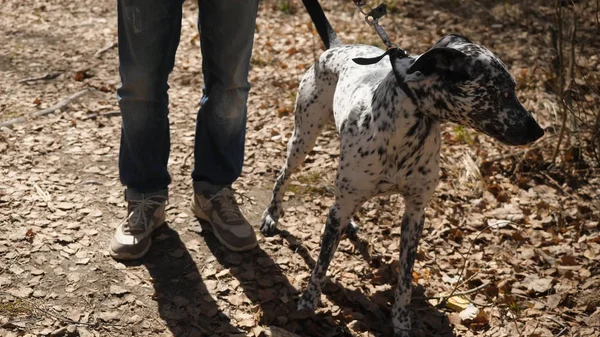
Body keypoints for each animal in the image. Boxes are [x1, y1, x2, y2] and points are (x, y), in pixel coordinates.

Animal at [258, 14, 544, 334]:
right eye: (504, 92)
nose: (539, 131)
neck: (407, 132)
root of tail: (337, 47)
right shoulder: (340, 210)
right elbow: (321, 265)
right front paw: (308, 304)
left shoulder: (415, 214)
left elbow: (406, 279)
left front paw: (402, 320)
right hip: (303, 138)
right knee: (284, 177)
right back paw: (272, 215)